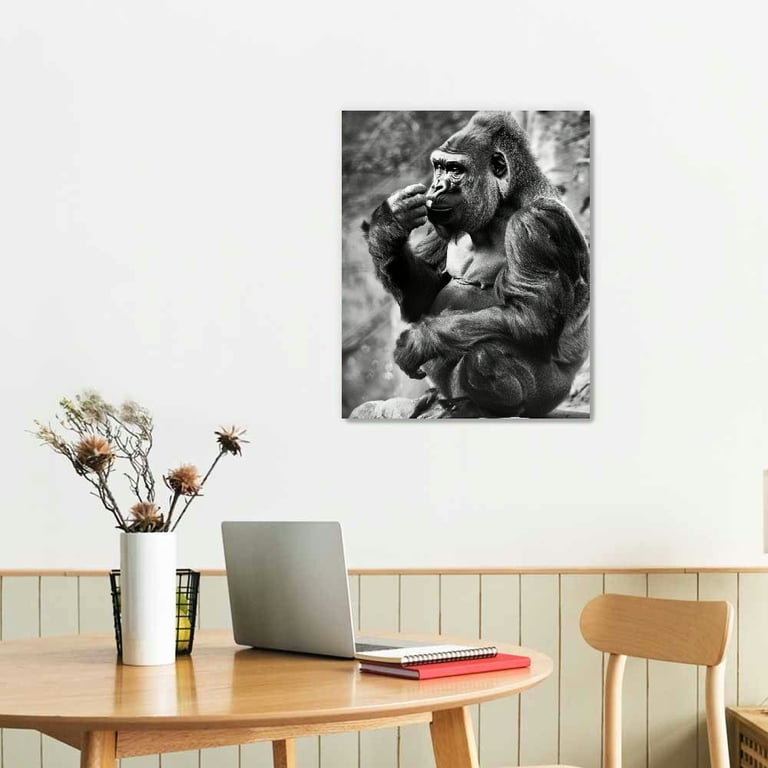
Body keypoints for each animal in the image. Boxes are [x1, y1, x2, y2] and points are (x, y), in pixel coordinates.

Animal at [362, 111, 590, 417]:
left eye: (455, 170)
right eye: (438, 167)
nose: (436, 186)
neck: (505, 201)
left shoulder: (535, 222)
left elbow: (532, 320)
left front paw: (421, 340)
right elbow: (423, 296)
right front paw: (390, 225)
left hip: (552, 394)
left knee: (486, 355)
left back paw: (486, 407)